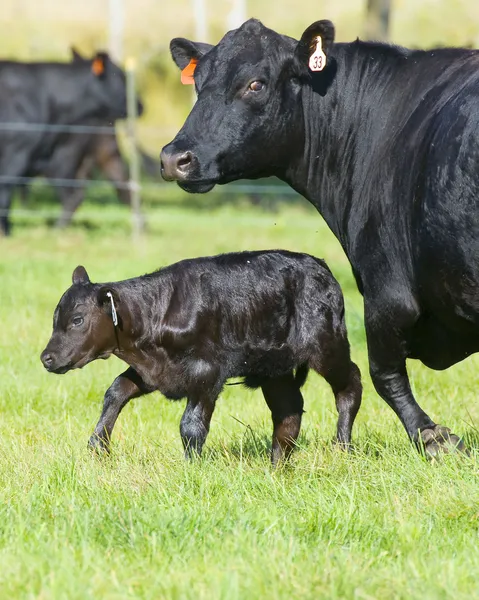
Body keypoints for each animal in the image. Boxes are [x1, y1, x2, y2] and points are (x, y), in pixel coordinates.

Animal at [41, 253, 362, 464]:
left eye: (78, 319)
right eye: (55, 318)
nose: (46, 358)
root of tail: (320, 265)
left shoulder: (207, 372)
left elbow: (191, 424)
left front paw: (190, 466)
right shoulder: (153, 371)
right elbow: (116, 391)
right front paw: (98, 445)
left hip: (326, 345)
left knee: (351, 384)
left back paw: (342, 447)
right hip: (274, 367)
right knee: (289, 409)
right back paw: (277, 465)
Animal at [160, 17, 479, 454]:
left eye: (256, 84)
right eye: (198, 82)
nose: (174, 158)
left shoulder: (386, 288)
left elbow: (383, 374)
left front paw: (433, 438)